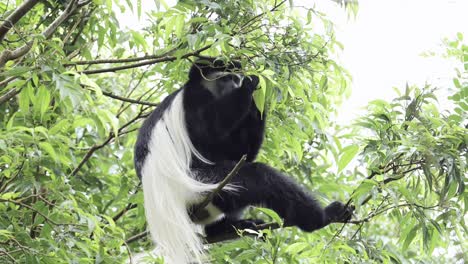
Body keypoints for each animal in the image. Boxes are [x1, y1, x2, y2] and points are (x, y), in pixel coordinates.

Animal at [133, 59, 352, 264]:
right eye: (225, 79)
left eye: (234, 78)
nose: (236, 84)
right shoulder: (195, 100)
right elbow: (210, 131)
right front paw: (251, 83)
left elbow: (238, 151)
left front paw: (259, 98)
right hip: (203, 184)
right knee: (259, 177)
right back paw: (323, 217)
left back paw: (227, 228)